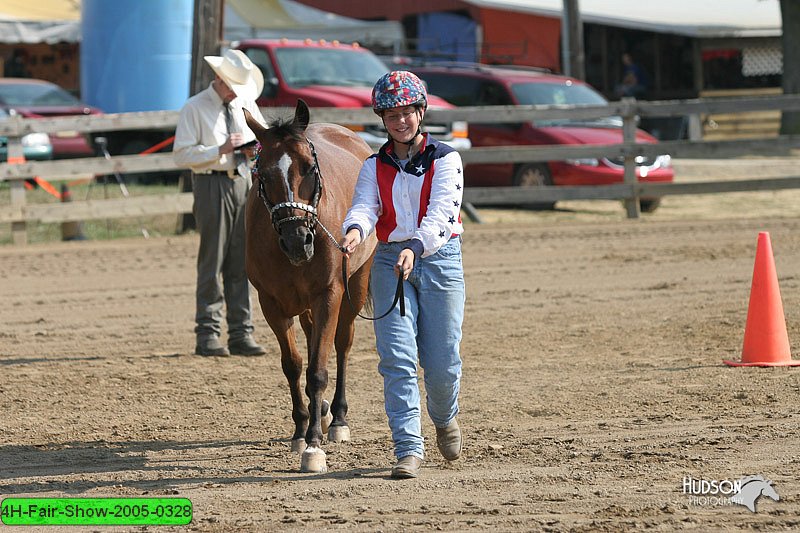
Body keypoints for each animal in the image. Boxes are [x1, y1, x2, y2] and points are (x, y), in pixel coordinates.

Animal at [242, 98, 376, 470]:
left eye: (310, 168)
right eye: (263, 173)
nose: (297, 240)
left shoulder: (329, 295)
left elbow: (317, 368)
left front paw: (314, 444)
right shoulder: (271, 303)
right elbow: (293, 364)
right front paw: (301, 430)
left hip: (356, 286)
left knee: (342, 345)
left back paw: (338, 418)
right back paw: (324, 413)